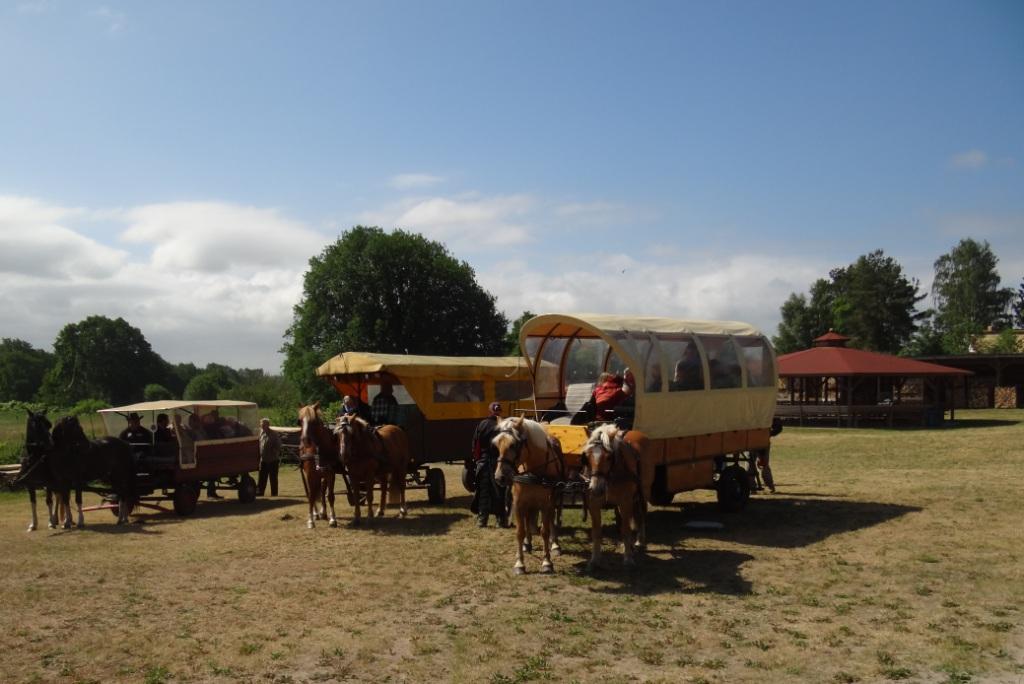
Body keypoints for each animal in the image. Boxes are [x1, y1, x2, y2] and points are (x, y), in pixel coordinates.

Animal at [489, 413, 565, 573]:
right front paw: (519, 563)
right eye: (496, 444)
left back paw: (555, 544)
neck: (534, 471)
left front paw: (547, 562)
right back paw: (527, 544)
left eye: (514, 444)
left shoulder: (546, 504)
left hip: (553, 499)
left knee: (551, 521)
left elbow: (545, 531)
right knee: (528, 520)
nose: (499, 477)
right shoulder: (519, 503)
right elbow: (520, 531)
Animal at [585, 423, 647, 569]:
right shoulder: (593, 503)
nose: (596, 488)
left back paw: (639, 540)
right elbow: (596, 532)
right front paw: (594, 560)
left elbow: (626, 530)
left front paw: (628, 559)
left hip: (642, 491)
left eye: (609, 457)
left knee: (641, 513)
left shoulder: (626, 502)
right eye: (587, 456)